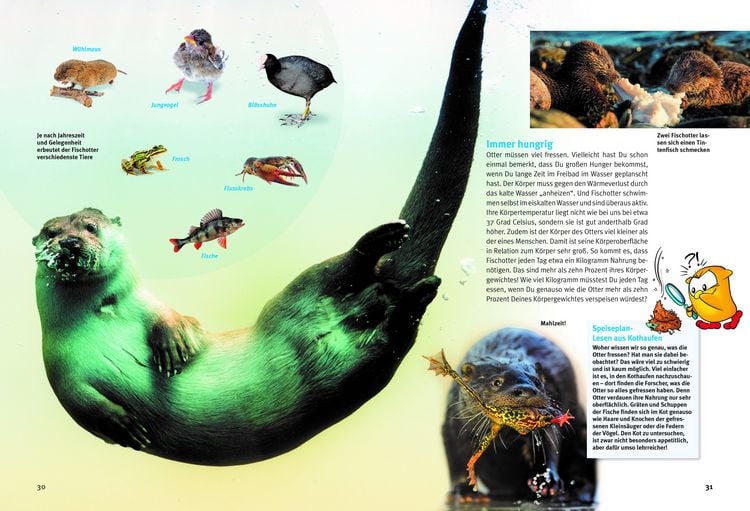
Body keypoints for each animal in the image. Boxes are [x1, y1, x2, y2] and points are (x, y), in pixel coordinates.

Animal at [34, 0, 487, 465]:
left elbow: (176, 318)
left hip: (302, 289)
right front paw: (124, 426)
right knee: (394, 323)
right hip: (367, 361)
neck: (104, 313)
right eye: (49, 232)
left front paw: (175, 345)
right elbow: (82, 404)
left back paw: (387, 240)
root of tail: (378, 294)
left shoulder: (147, 304)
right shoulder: (59, 365)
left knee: (347, 269)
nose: (70, 241)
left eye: (91, 226)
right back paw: (418, 285)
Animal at [442, 328, 596, 504]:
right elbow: (457, 460)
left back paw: (577, 491)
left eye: (537, 382)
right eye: (497, 382)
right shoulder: (451, 423)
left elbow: (550, 444)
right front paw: (464, 491)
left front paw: (546, 481)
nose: (527, 390)